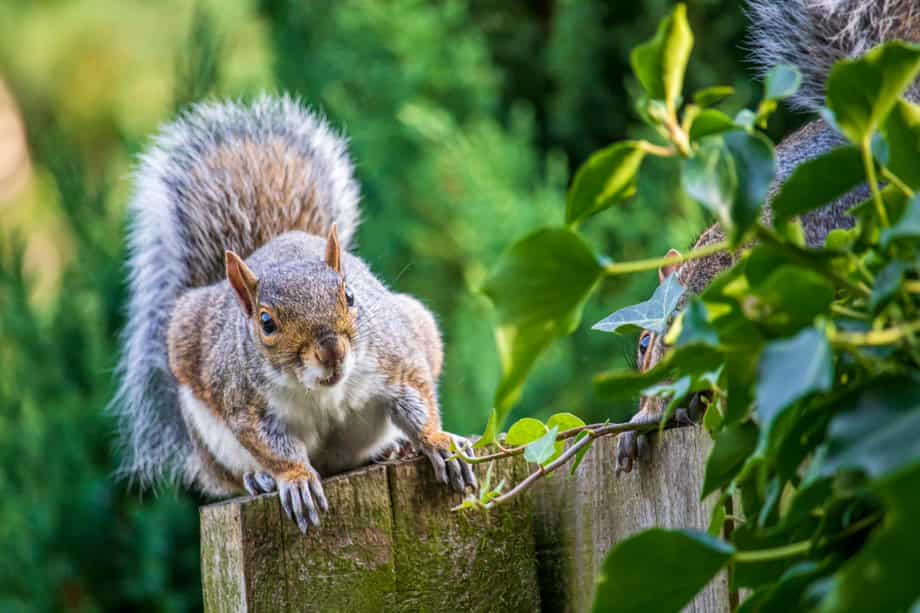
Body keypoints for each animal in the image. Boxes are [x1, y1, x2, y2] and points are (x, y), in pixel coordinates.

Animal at [109, 95, 474, 532]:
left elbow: (419, 399)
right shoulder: (245, 405)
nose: (331, 351)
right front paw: (295, 479)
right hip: (207, 430)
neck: (322, 390)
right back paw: (258, 478)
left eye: (349, 295)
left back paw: (393, 449)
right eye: (266, 323)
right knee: (231, 474)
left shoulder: (395, 358)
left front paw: (438, 442)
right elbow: (274, 448)